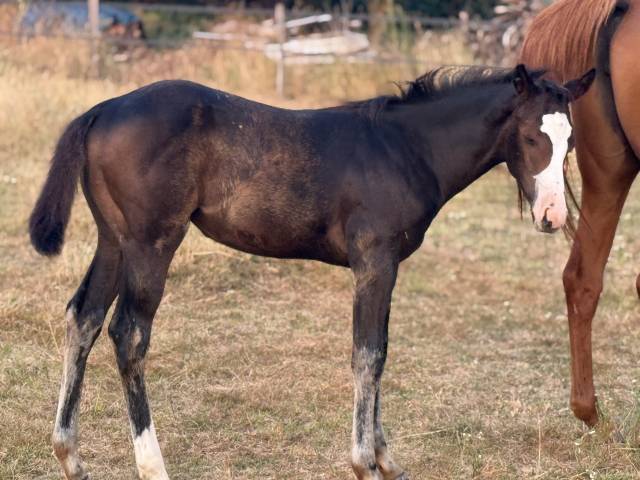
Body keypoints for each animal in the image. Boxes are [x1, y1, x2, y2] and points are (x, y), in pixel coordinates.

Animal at [29, 65, 594, 480]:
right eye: (529, 137)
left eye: (570, 143)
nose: (552, 216)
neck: (406, 148)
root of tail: (101, 110)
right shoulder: (375, 262)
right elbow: (368, 354)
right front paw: (365, 463)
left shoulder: (385, 266)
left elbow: (379, 350)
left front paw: (387, 460)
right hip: (152, 242)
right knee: (128, 333)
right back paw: (152, 466)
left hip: (114, 241)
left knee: (83, 318)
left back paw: (69, 455)